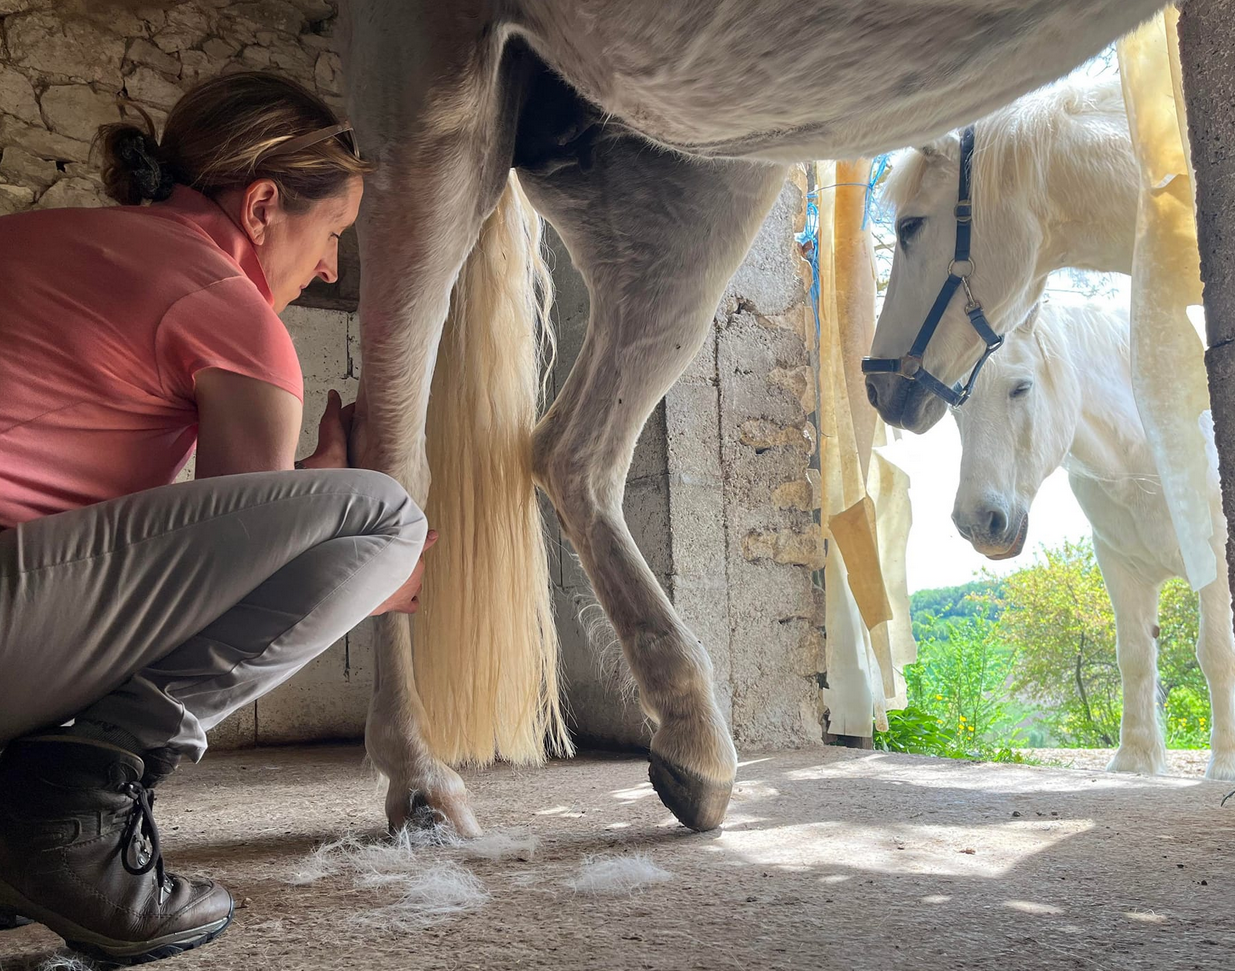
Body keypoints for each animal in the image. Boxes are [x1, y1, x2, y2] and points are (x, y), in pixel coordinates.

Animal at [338, 1, 1166, 836]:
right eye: (900, 229)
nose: (884, 388)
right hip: (442, 110)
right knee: (400, 452)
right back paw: (419, 773)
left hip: (684, 201)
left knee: (571, 453)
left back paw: (693, 743)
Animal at [948, 300, 1235, 780]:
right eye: (956, 403)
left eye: (1021, 387)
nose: (977, 522)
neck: (1151, 454)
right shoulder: (1119, 566)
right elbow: (1134, 656)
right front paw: (1135, 759)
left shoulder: (1216, 565)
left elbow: (1216, 652)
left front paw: (1226, 763)